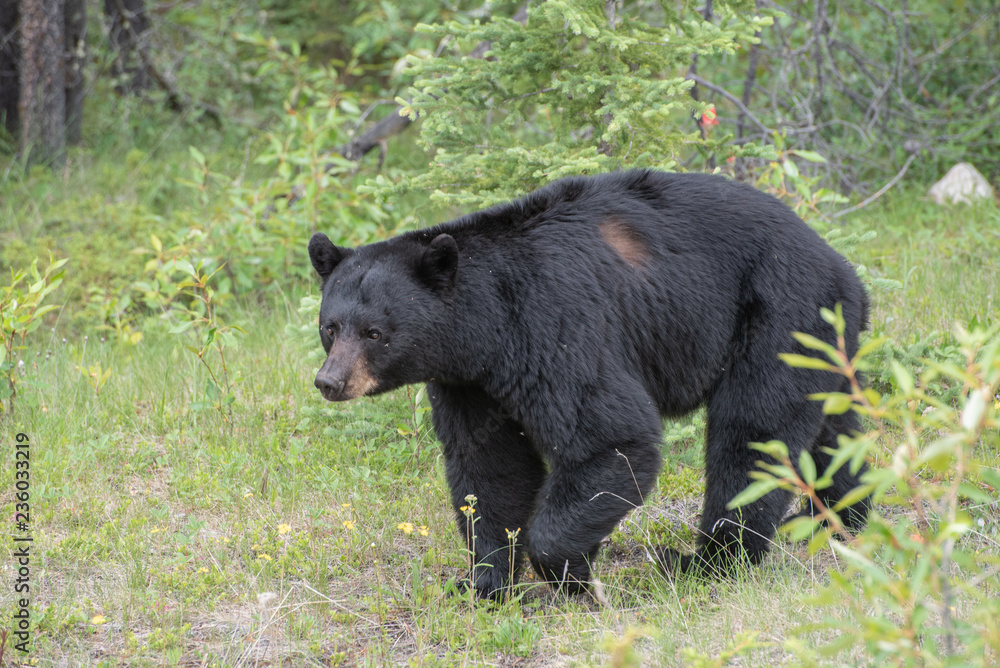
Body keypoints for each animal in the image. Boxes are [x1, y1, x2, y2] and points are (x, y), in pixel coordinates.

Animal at [308, 169, 870, 599]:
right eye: (330, 326)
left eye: (375, 332)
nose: (330, 381)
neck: (486, 328)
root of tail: (841, 265)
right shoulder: (469, 383)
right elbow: (489, 466)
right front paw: (484, 584)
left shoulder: (554, 327)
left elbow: (610, 438)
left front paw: (574, 574)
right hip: (825, 336)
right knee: (832, 426)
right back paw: (841, 517)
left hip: (777, 313)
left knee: (753, 432)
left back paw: (710, 560)